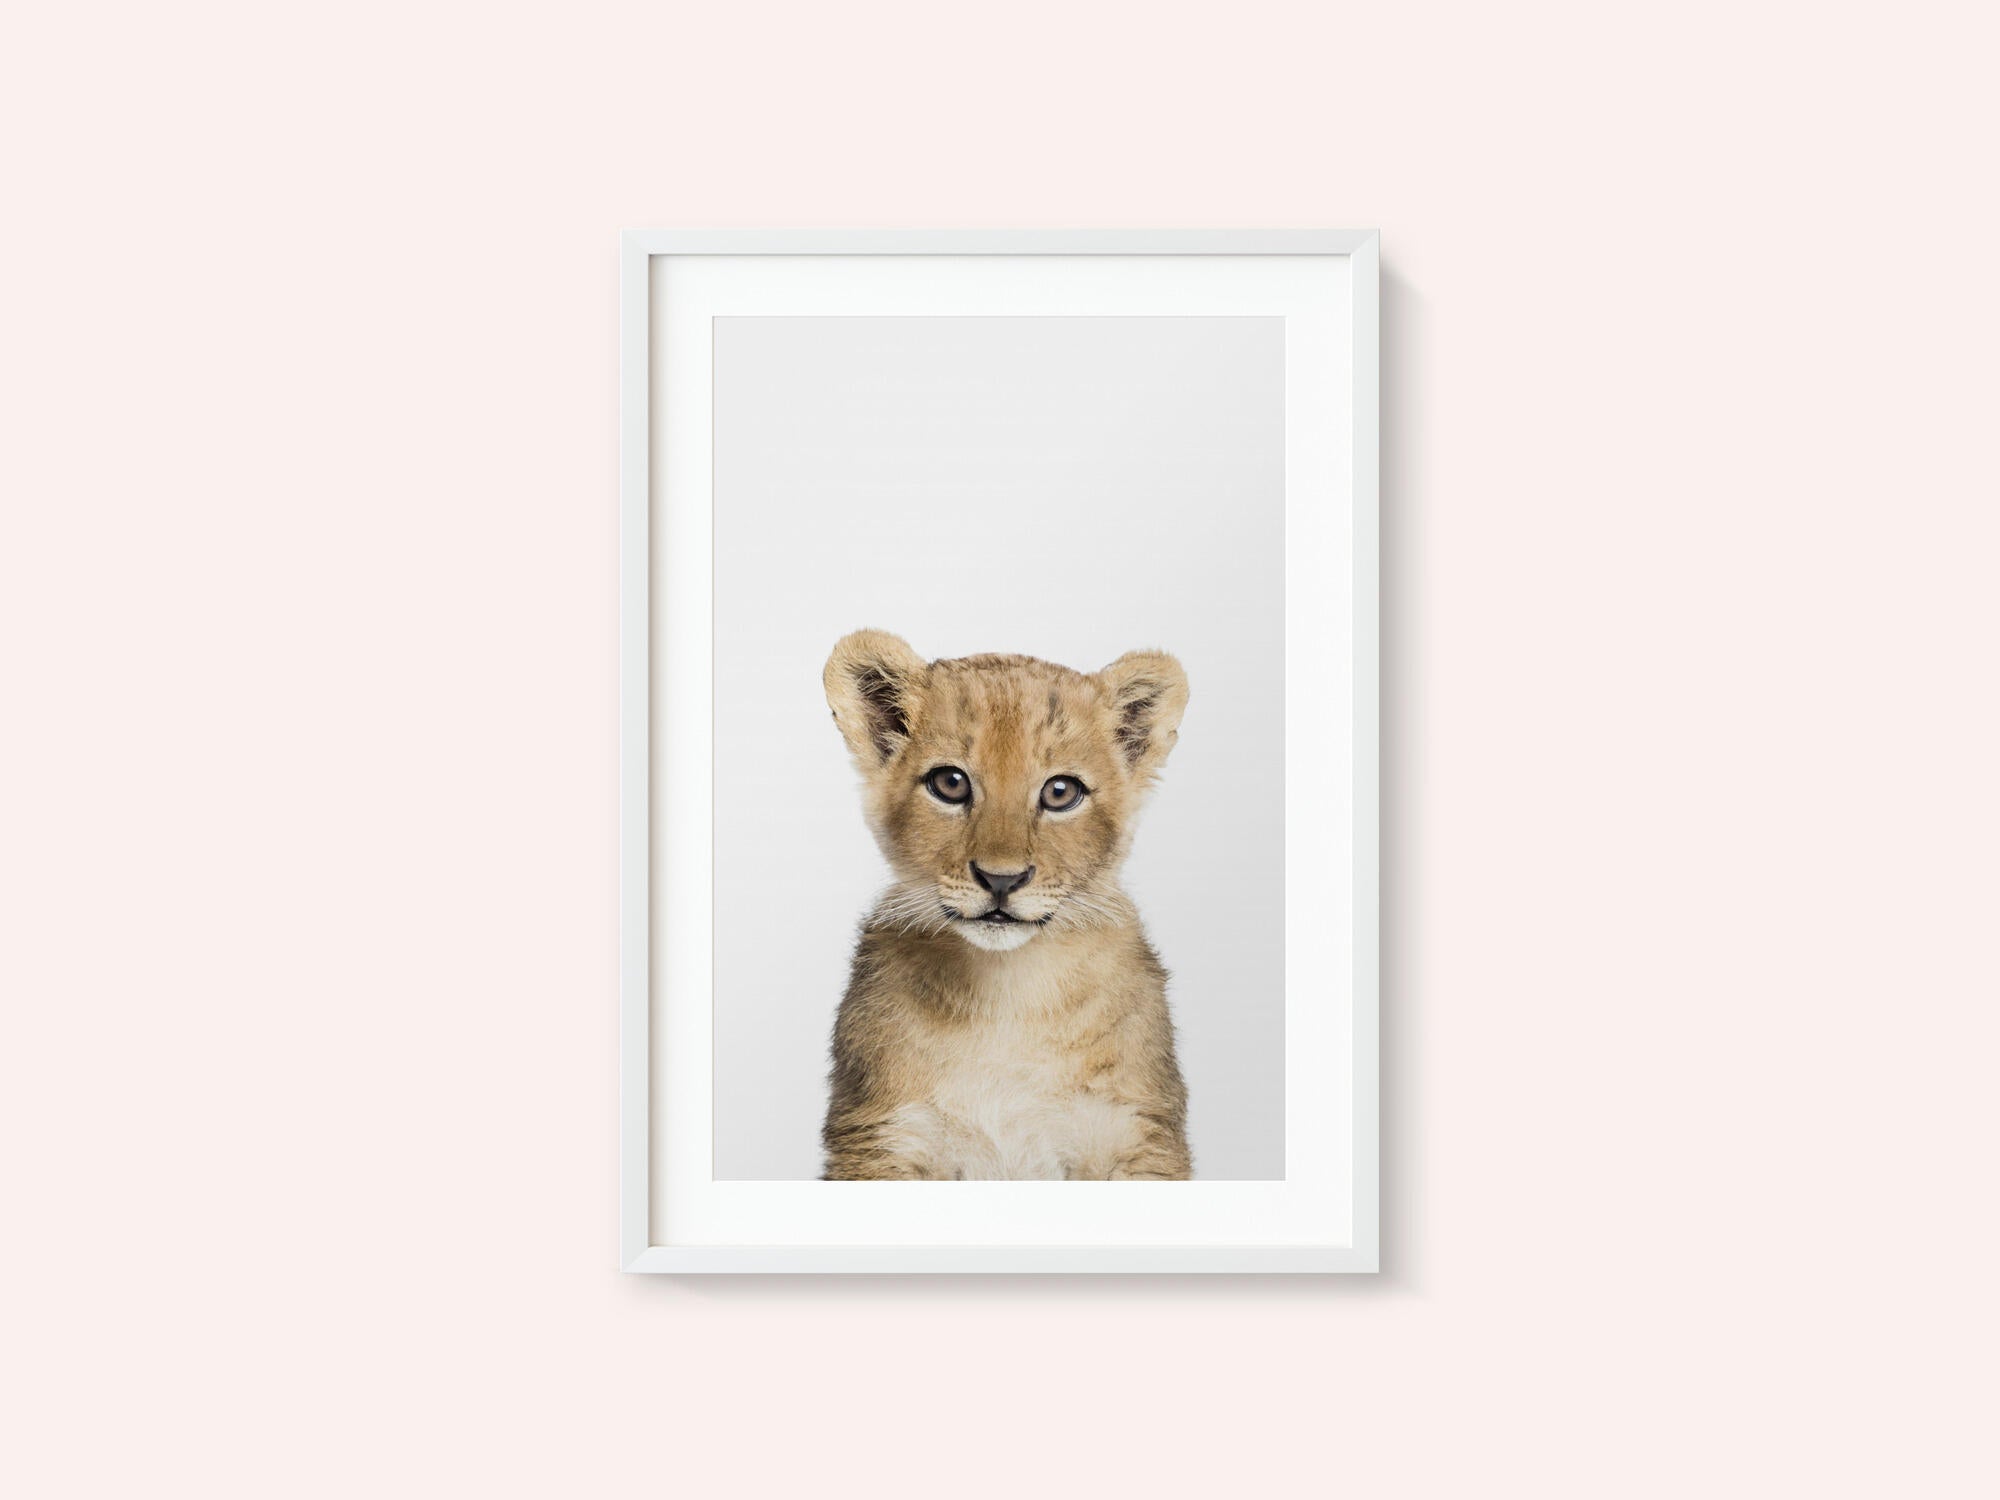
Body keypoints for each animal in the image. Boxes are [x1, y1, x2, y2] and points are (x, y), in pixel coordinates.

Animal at [819, 630, 1193, 1180]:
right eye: (950, 783)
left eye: (1060, 792)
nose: (1001, 879)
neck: (1008, 993)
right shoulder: (882, 1136)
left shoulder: (1136, 1133)